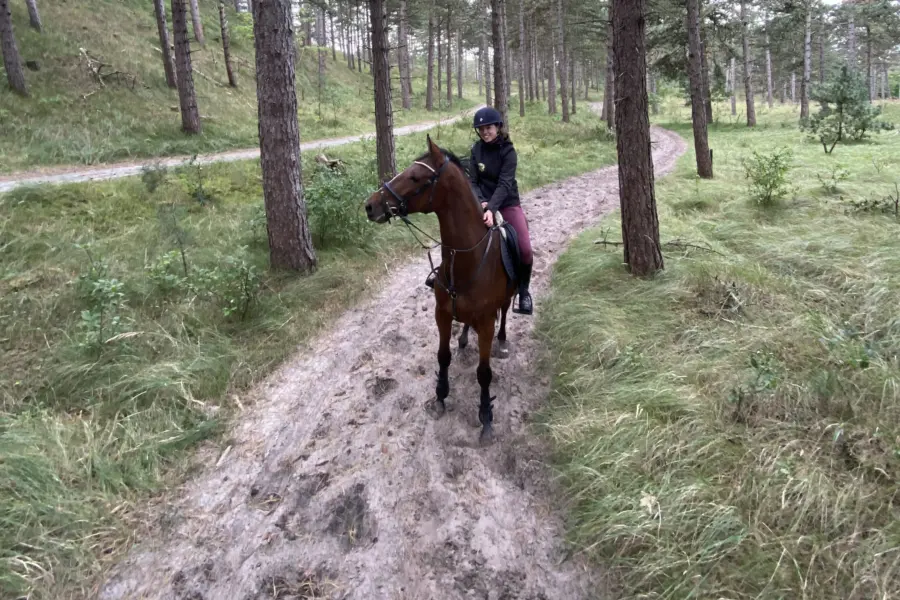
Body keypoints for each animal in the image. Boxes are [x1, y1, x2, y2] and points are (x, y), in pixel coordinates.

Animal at [363, 134, 520, 445]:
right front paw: (440, 398)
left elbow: (484, 373)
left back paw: (503, 341)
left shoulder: (486, 323)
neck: (467, 260)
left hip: (505, 301)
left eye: (415, 177)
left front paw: (486, 418)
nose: (371, 205)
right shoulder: (442, 314)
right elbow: (442, 356)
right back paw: (464, 337)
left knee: (505, 313)